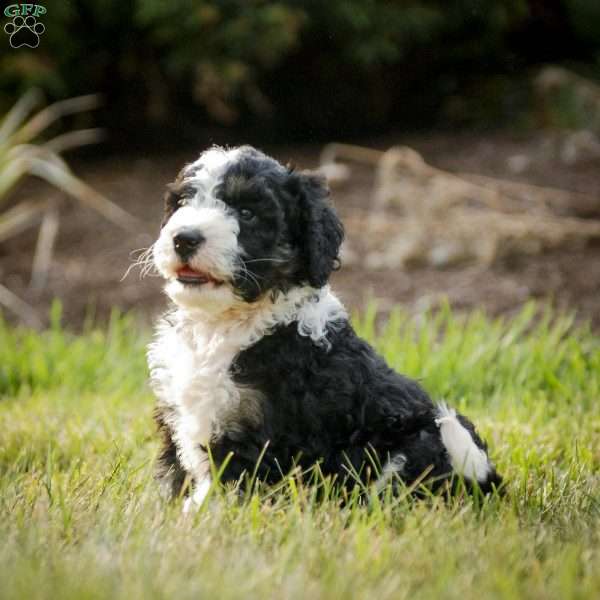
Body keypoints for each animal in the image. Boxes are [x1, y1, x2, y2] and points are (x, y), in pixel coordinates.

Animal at [146, 145, 502, 510]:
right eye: (183, 202)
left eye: (247, 212)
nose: (184, 239)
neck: (222, 325)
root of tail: (484, 481)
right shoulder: (178, 412)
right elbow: (173, 476)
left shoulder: (250, 434)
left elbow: (220, 488)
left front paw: (197, 515)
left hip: (418, 443)